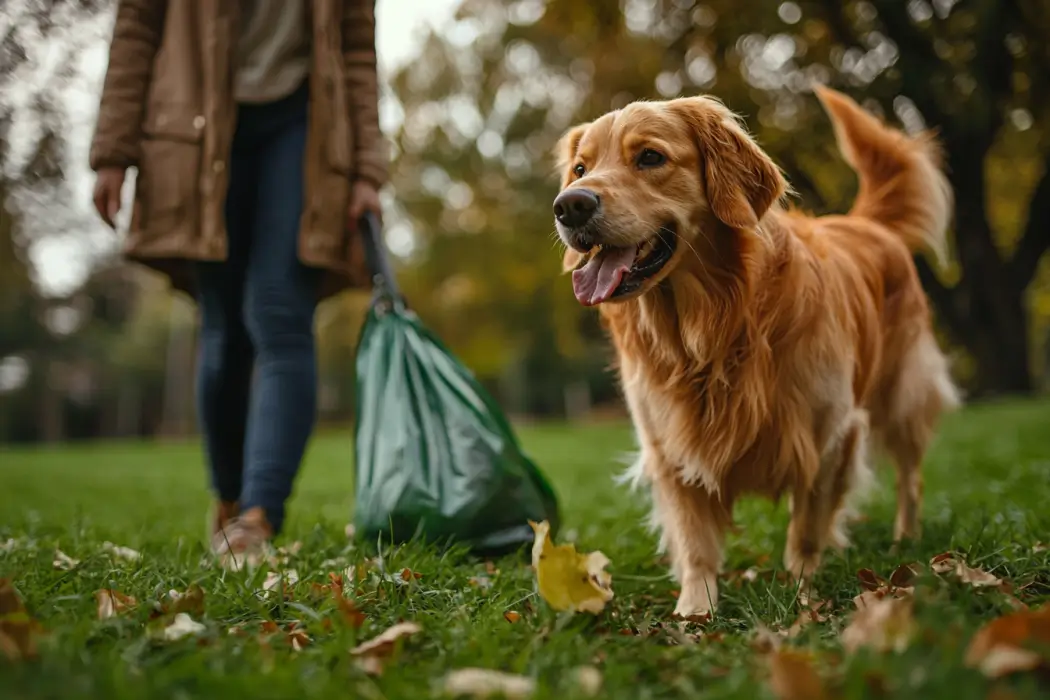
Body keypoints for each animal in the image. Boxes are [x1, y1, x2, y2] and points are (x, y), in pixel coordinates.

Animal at [558, 87, 961, 617]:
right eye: (580, 168)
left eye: (650, 157)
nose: (569, 206)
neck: (711, 330)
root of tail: (865, 224)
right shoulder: (669, 446)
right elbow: (695, 542)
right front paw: (695, 610)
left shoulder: (829, 435)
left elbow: (806, 530)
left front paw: (803, 595)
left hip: (903, 396)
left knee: (910, 480)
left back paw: (905, 542)